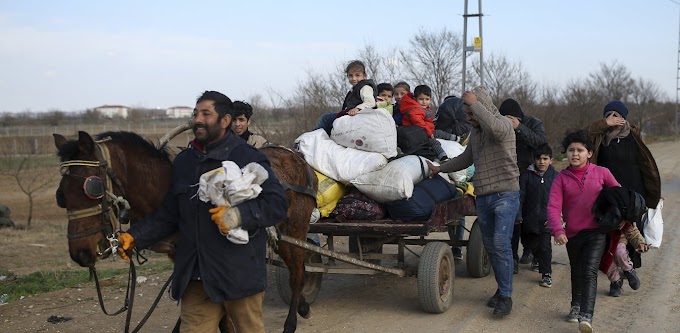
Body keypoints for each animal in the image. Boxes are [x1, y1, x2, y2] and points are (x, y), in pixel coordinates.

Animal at [53, 131, 318, 330]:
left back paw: (292, 320)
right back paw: (304, 305)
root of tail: (297, 158)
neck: (164, 185)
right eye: (61, 195)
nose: (80, 253)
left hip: (294, 230)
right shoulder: (182, 258)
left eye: (93, 188)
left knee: (297, 272)